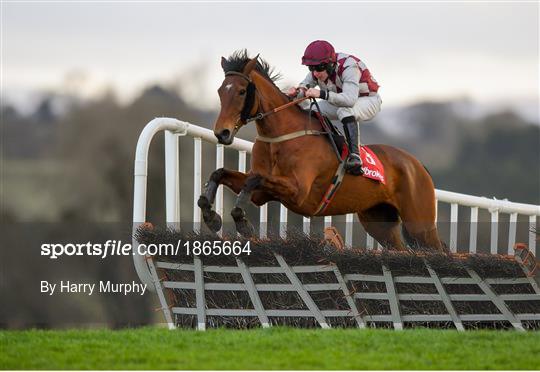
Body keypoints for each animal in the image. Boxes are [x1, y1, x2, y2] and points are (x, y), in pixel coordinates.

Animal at [198, 50, 442, 251]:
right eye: (220, 91)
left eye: (241, 91)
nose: (222, 133)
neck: (279, 137)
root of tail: (418, 164)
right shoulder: (263, 193)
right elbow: (221, 173)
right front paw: (210, 215)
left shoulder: (297, 190)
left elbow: (254, 179)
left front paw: (241, 221)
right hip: (379, 222)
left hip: (420, 225)